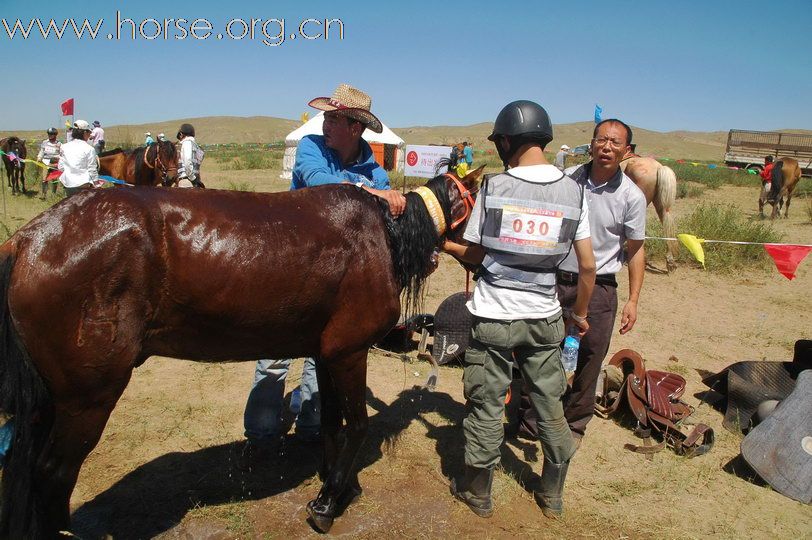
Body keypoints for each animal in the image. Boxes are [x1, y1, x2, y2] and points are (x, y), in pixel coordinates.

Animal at [0, 167, 482, 536]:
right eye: (483, 206)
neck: (382, 235)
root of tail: (29, 239)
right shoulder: (349, 352)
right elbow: (357, 427)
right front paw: (328, 504)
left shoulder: (327, 353)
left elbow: (331, 425)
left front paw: (337, 487)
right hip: (88, 398)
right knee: (53, 473)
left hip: (51, 401)